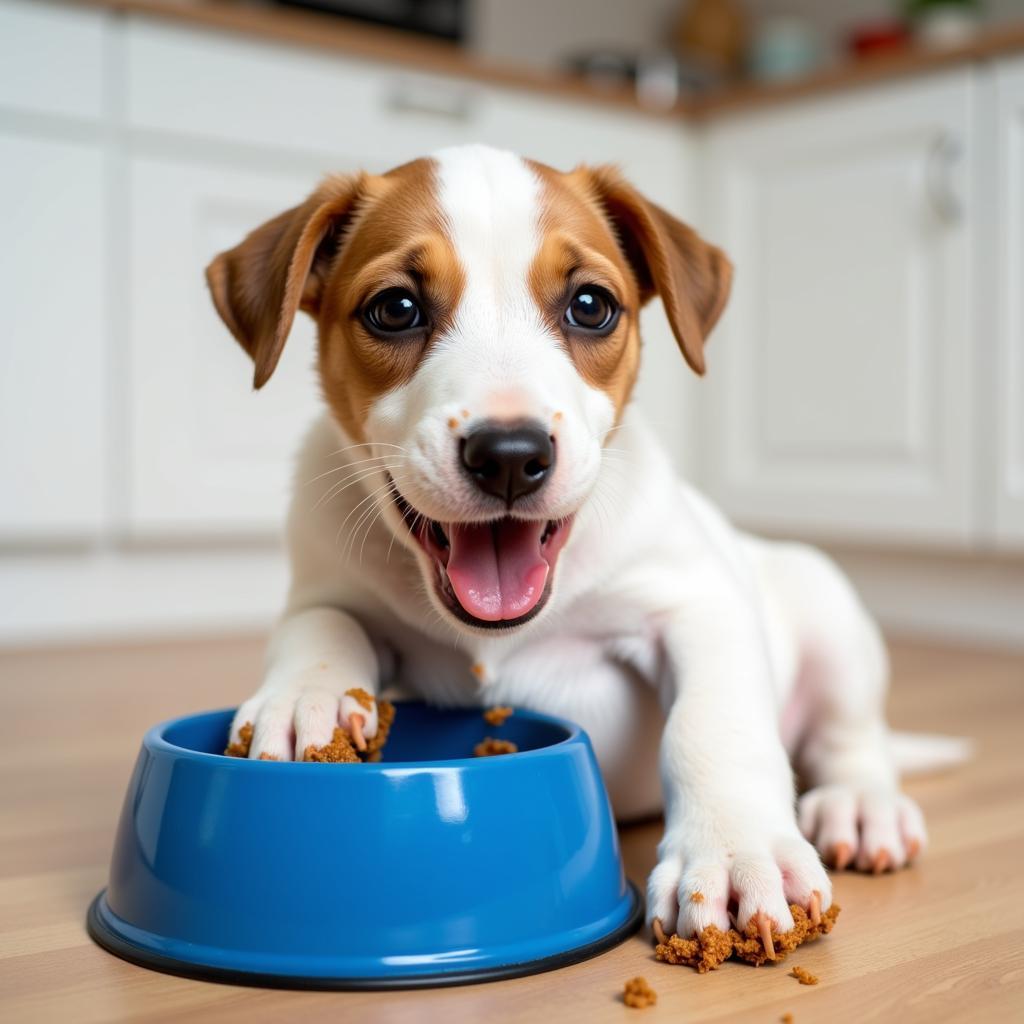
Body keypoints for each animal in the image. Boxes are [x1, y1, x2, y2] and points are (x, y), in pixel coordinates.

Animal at [207, 146, 942, 950]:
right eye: (394, 309)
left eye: (590, 305)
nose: (508, 455)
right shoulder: (324, 585)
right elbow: (322, 625)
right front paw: (302, 698)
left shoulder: (698, 605)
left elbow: (714, 724)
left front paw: (735, 852)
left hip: (826, 605)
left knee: (852, 740)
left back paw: (860, 806)